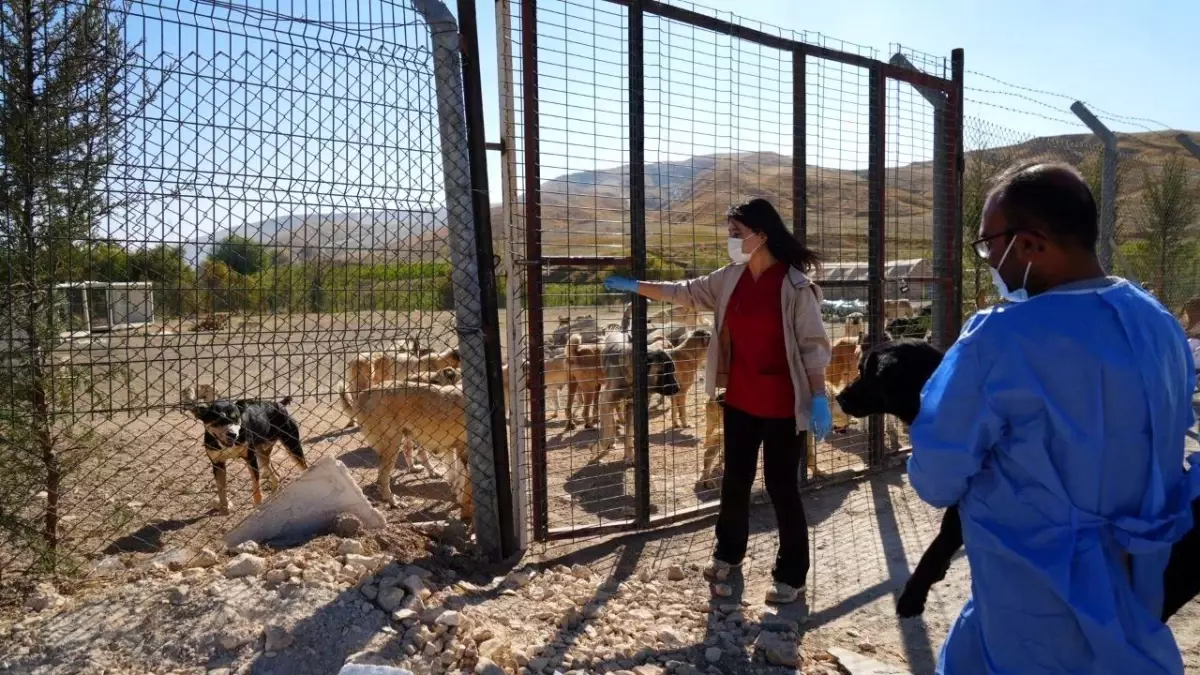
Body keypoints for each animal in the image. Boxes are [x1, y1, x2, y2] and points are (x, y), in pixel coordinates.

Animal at [338, 379, 472, 521]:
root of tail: (364, 394)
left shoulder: (455, 449)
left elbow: (456, 477)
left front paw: (456, 494)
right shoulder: (463, 452)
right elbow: (461, 480)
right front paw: (460, 501)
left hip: (404, 438)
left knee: (409, 452)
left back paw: (417, 470)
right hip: (392, 446)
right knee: (382, 479)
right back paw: (393, 502)